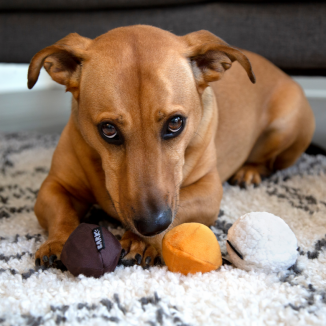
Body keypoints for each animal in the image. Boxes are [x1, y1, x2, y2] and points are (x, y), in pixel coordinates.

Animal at [29, 24, 314, 268]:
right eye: (108, 129)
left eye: (176, 123)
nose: (151, 225)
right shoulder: (54, 185)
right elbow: (62, 212)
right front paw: (59, 241)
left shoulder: (209, 191)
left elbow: (181, 206)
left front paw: (141, 241)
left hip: (284, 129)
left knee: (269, 162)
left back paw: (249, 171)